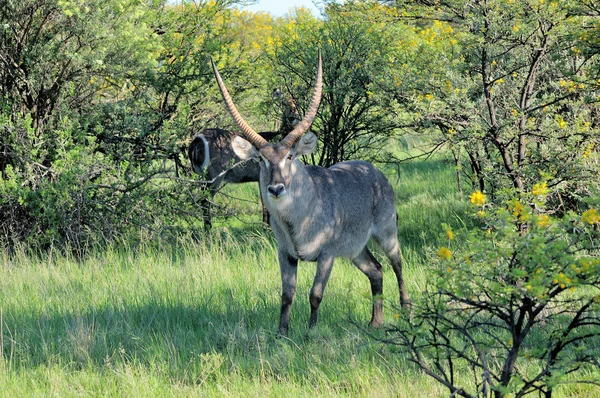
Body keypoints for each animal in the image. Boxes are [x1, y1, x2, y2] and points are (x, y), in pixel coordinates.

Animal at [211, 52, 412, 336]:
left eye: (290, 156)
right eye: (261, 159)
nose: (275, 188)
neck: (298, 218)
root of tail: (375, 172)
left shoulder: (326, 255)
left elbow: (315, 294)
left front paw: (311, 333)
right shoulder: (285, 254)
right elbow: (287, 295)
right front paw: (282, 333)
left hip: (386, 234)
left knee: (397, 264)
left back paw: (406, 311)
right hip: (356, 250)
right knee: (376, 270)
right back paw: (375, 322)